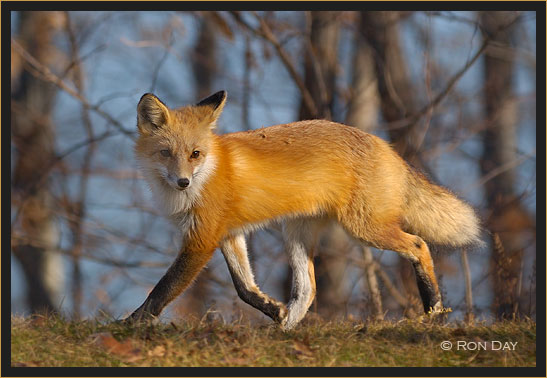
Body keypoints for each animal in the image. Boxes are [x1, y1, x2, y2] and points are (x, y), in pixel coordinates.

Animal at [126, 91, 482, 328]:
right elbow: (245, 288)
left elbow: (163, 289)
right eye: (166, 153)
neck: (209, 171)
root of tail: (386, 146)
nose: (183, 182)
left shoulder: (202, 240)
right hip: (297, 234)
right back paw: (285, 328)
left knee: (419, 245)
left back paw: (434, 310)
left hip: (364, 229)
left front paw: (130, 325)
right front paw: (274, 309)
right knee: (308, 289)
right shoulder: (229, 234)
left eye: (195, 154)